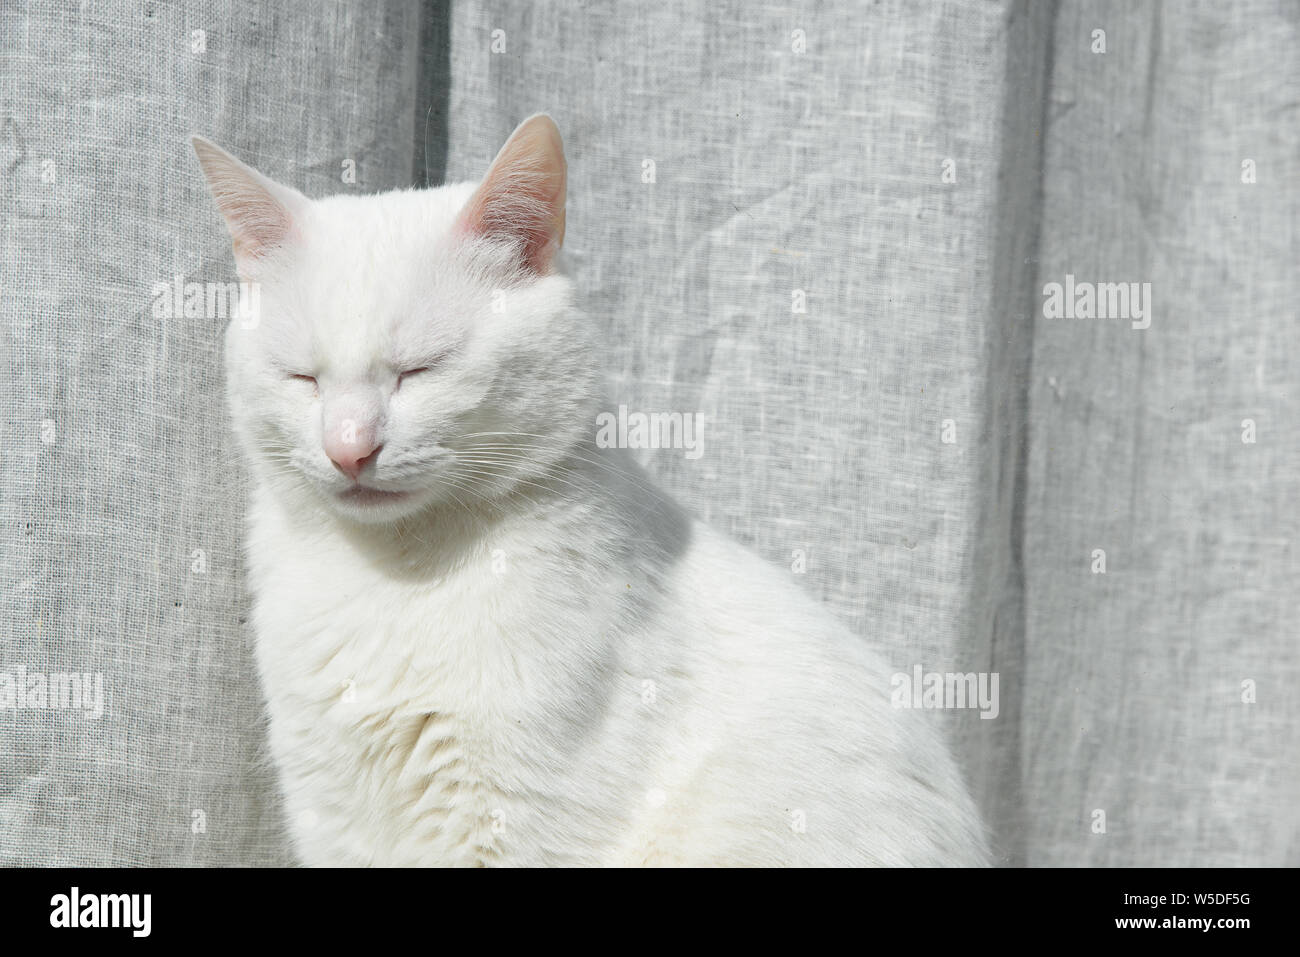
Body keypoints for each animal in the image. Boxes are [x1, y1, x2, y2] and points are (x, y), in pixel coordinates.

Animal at [189, 113, 982, 868]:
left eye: (421, 370)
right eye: (303, 377)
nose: (349, 447)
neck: (391, 579)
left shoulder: (513, 820)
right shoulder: (332, 813)